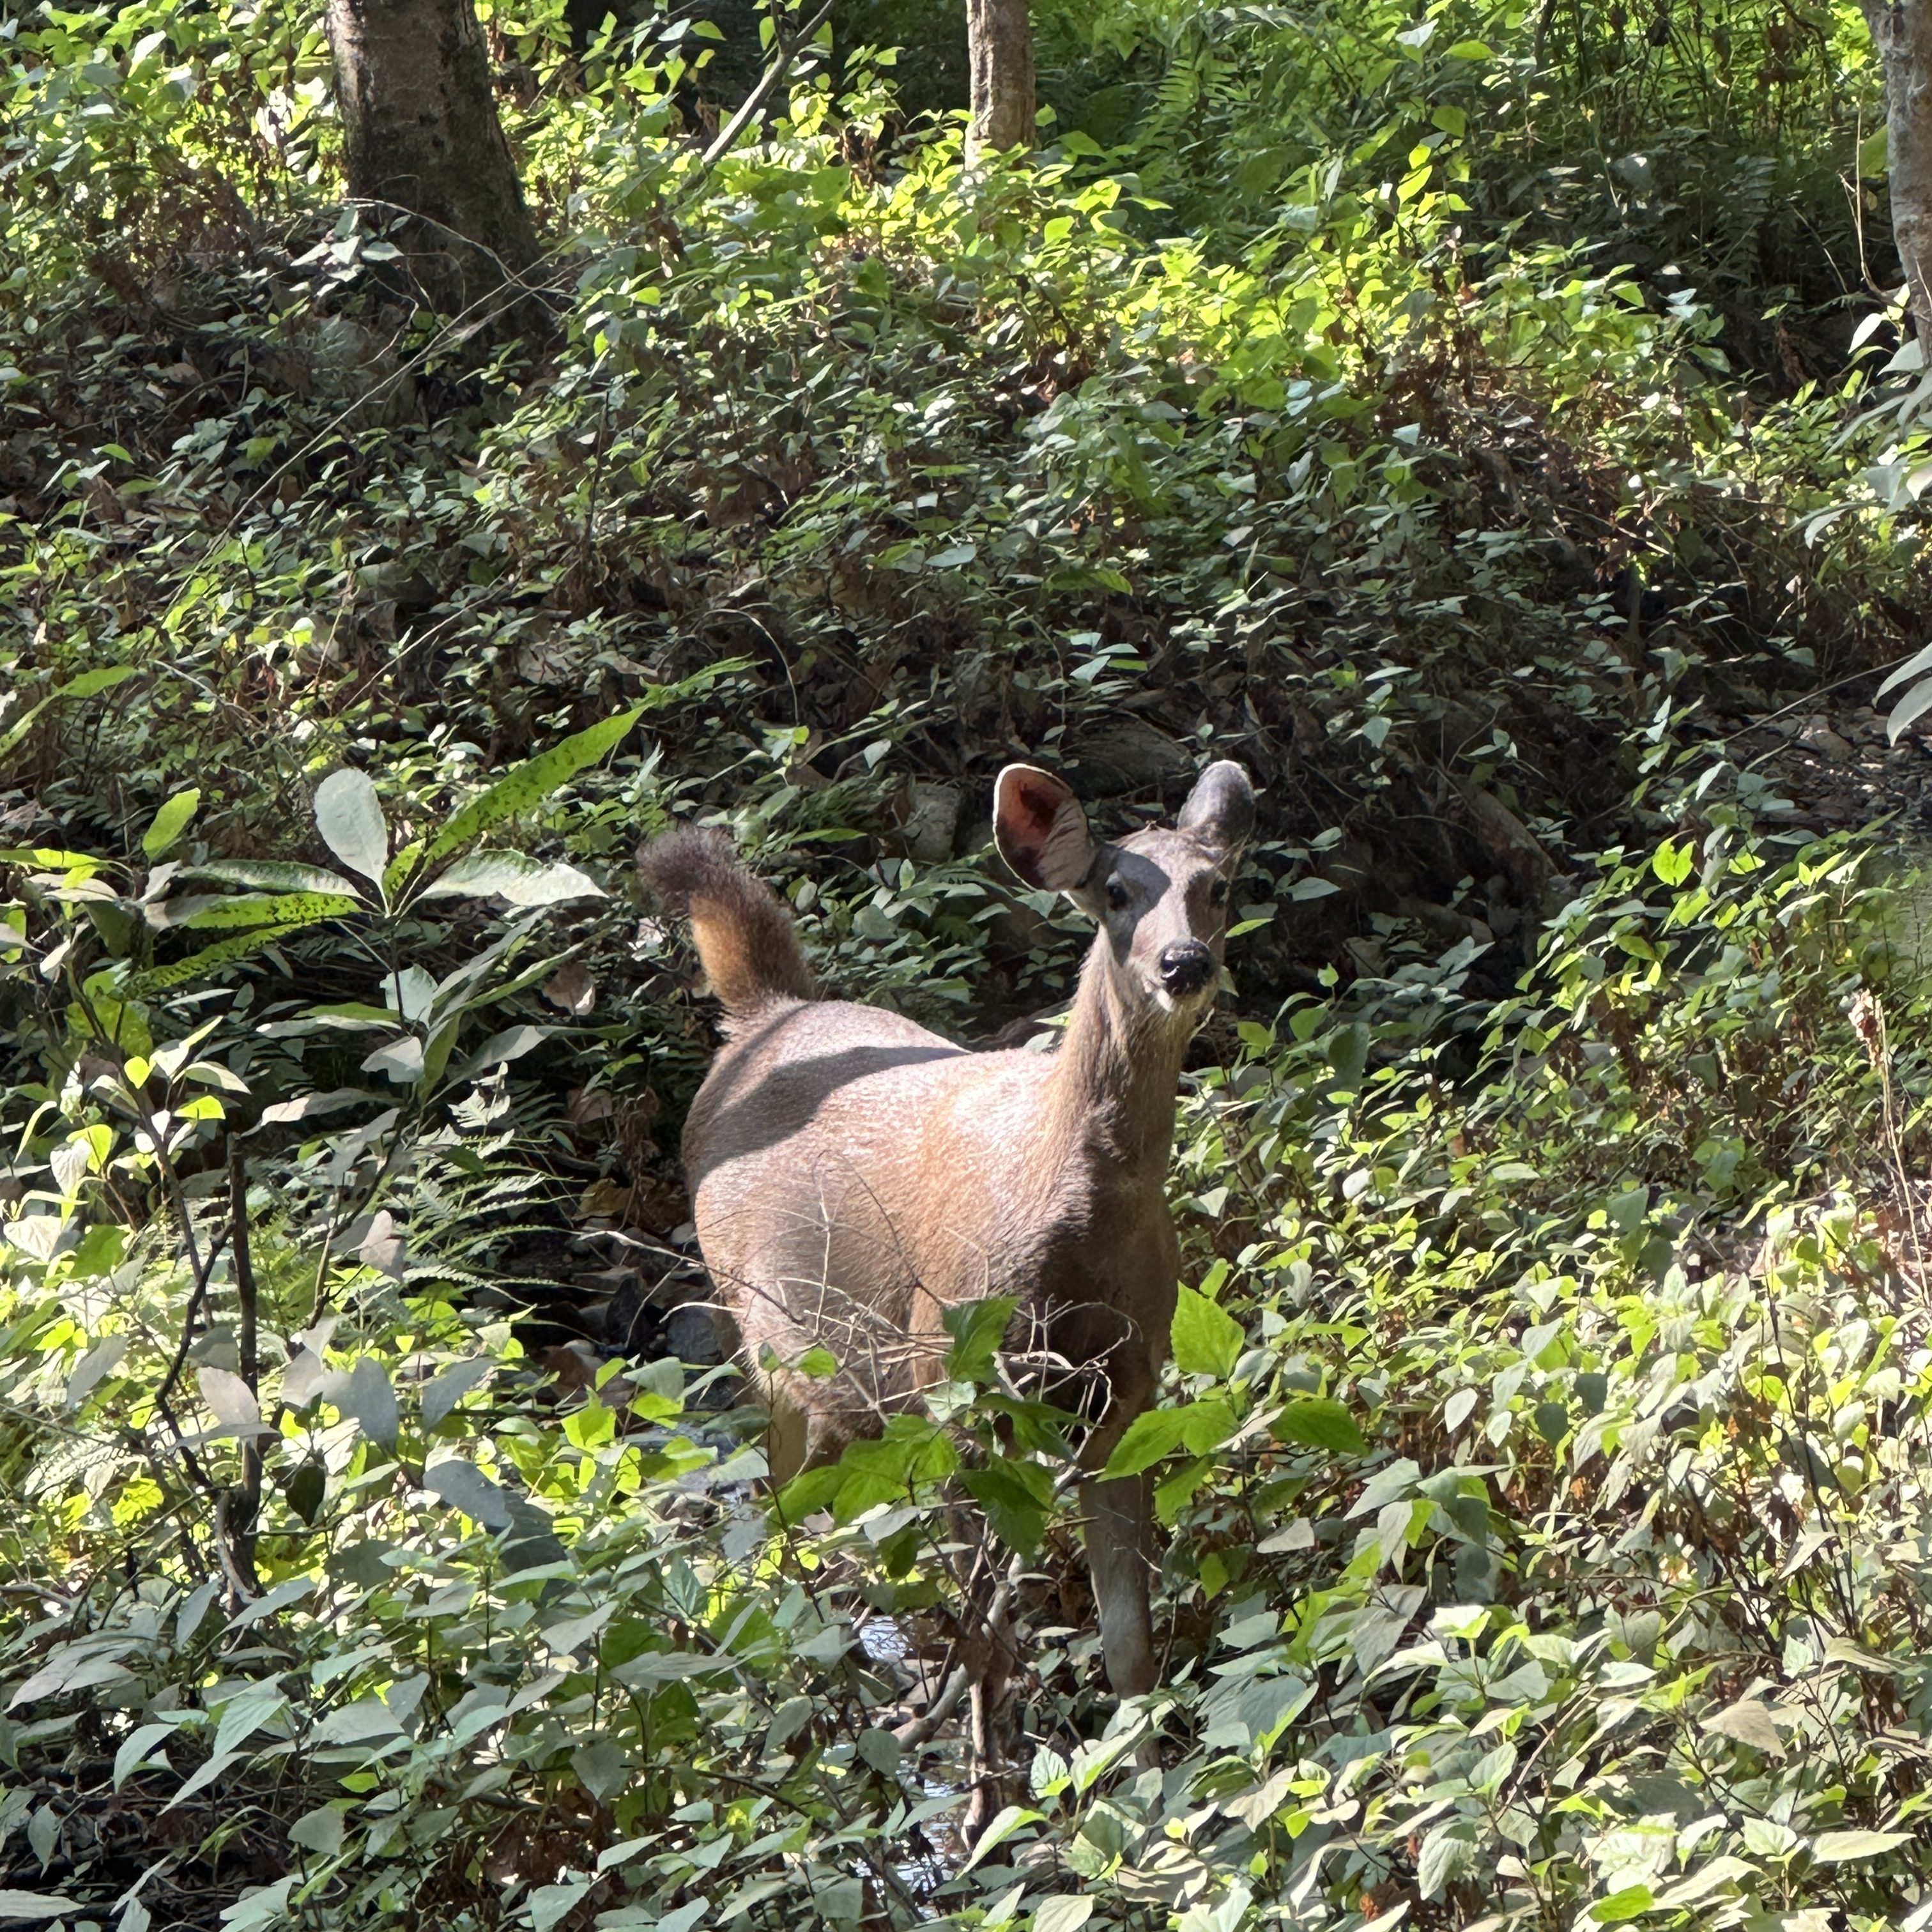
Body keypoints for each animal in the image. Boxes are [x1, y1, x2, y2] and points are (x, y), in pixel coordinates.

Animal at [638, 758, 1254, 1787]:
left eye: (1214, 888)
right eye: (1116, 893)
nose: (1184, 965)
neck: (1069, 1218)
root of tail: (765, 1016)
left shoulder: (1127, 1390)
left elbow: (1129, 1644)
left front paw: (1145, 1792)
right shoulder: (950, 1377)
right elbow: (987, 1639)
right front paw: (991, 1789)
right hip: (765, 1336)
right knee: (775, 1506)